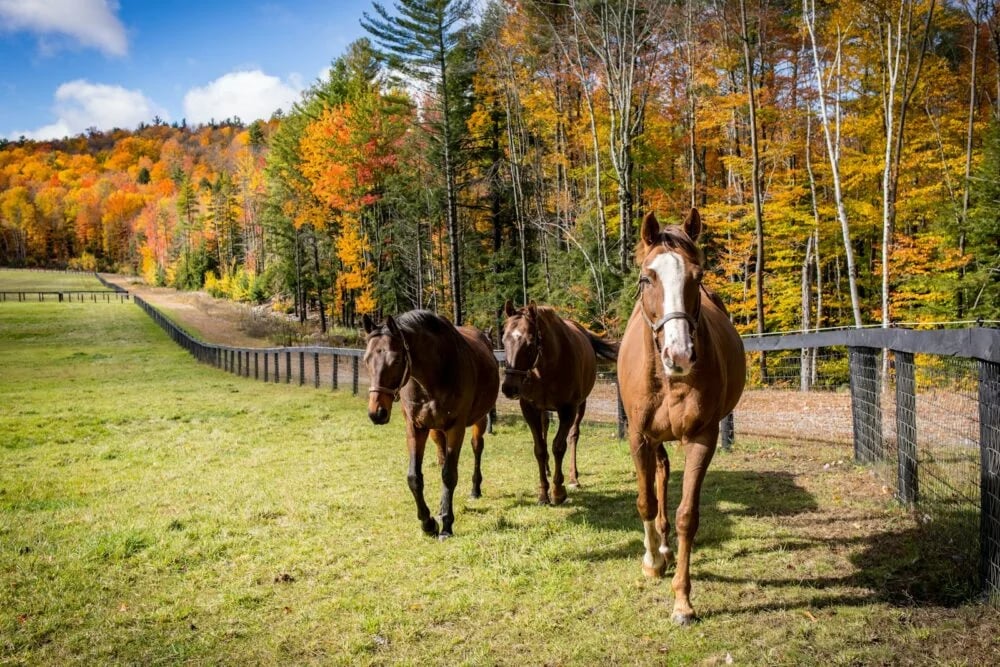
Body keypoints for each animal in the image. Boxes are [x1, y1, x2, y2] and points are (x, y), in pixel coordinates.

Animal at [363, 310, 500, 539]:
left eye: (397, 360)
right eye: (366, 360)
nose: (377, 413)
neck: (433, 376)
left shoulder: (456, 428)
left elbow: (449, 475)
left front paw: (446, 525)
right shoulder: (416, 428)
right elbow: (414, 477)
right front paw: (428, 523)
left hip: (479, 420)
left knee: (476, 448)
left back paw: (474, 490)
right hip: (436, 430)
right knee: (442, 454)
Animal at [500, 300, 618, 505]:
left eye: (530, 343)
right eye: (504, 341)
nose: (509, 388)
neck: (546, 367)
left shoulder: (568, 410)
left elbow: (559, 446)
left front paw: (557, 491)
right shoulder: (529, 409)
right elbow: (540, 448)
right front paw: (543, 493)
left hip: (581, 406)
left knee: (573, 436)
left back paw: (573, 478)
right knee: (545, 429)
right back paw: (548, 470)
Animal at [617, 209, 746, 625]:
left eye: (698, 277)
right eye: (647, 277)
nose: (680, 354)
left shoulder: (702, 438)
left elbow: (688, 516)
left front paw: (683, 602)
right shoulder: (638, 437)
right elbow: (645, 501)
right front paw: (652, 562)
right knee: (658, 478)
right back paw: (658, 550)